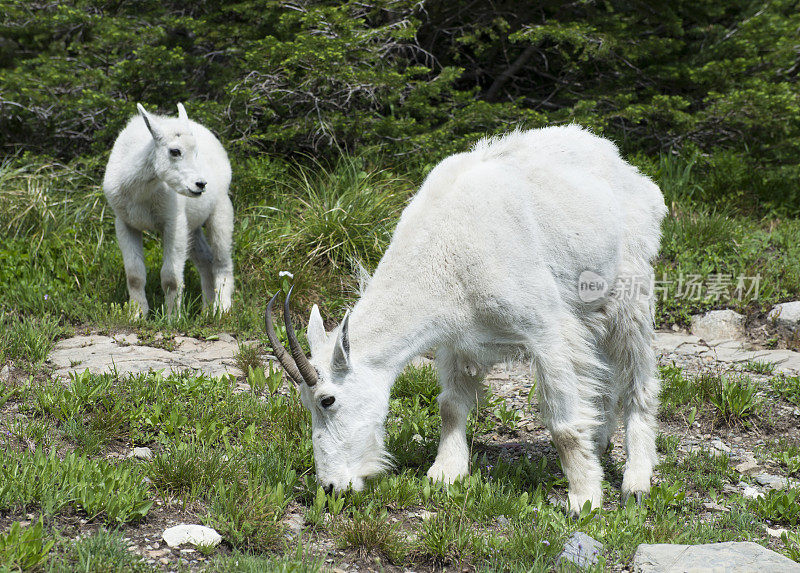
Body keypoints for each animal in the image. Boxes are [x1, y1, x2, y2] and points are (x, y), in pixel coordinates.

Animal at [268, 125, 668, 510]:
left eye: (327, 400)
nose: (332, 487)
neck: (445, 253)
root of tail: (633, 175)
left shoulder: (547, 331)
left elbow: (564, 425)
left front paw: (584, 498)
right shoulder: (455, 338)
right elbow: (450, 405)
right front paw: (445, 473)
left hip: (631, 292)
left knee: (639, 381)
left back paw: (636, 481)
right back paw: (599, 442)